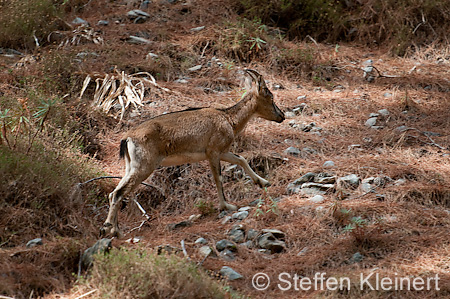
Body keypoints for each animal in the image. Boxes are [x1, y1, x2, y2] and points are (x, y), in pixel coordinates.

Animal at [103, 69, 284, 238]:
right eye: (271, 97)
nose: (282, 116)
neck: (229, 120)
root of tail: (127, 139)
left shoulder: (222, 152)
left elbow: (241, 160)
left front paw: (263, 182)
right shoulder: (213, 151)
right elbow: (218, 178)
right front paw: (227, 206)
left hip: (131, 166)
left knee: (113, 192)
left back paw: (115, 229)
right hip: (144, 166)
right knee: (119, 193)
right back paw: (113, 230)